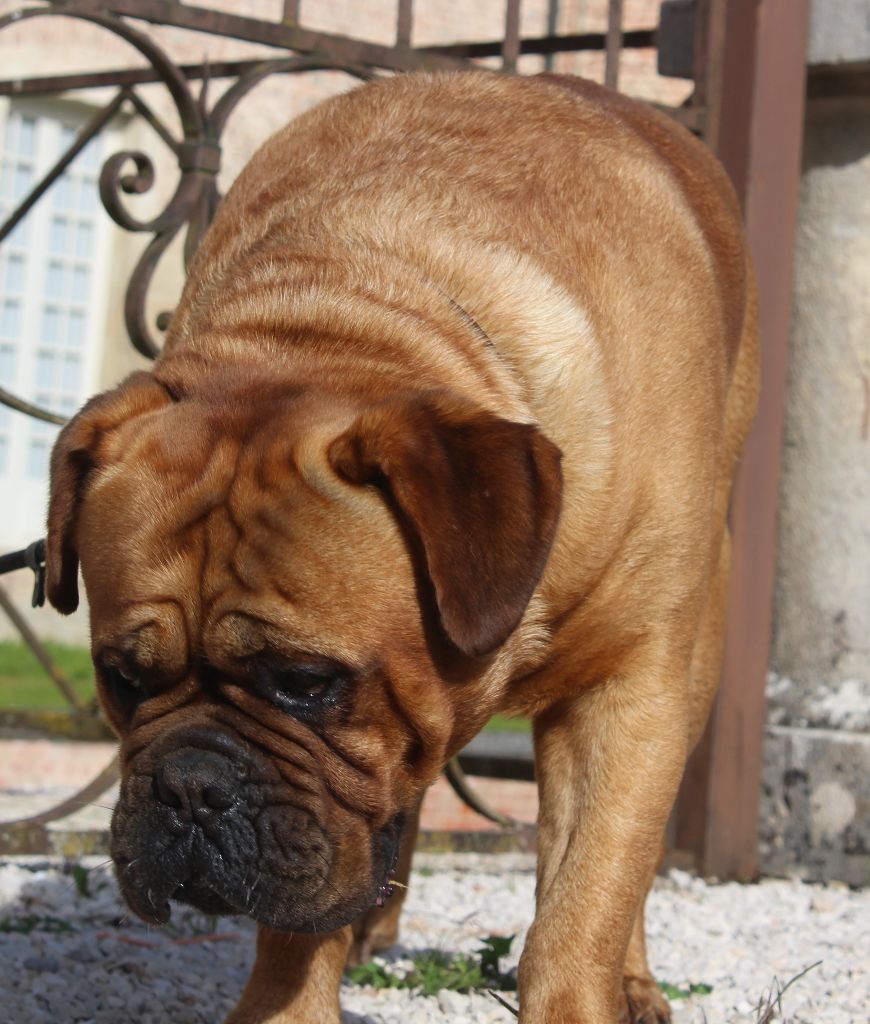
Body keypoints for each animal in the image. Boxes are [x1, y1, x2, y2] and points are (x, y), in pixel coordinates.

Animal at [45, 68, 753, 1019]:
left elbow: (586, 903)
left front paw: (583, 988)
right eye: (122, 679)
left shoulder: (632, 689)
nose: (190, 787)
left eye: (308, 683)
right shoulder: (331, 814)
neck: (350, 313)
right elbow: (303, 918)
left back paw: (632, 981)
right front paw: (289, 1003)